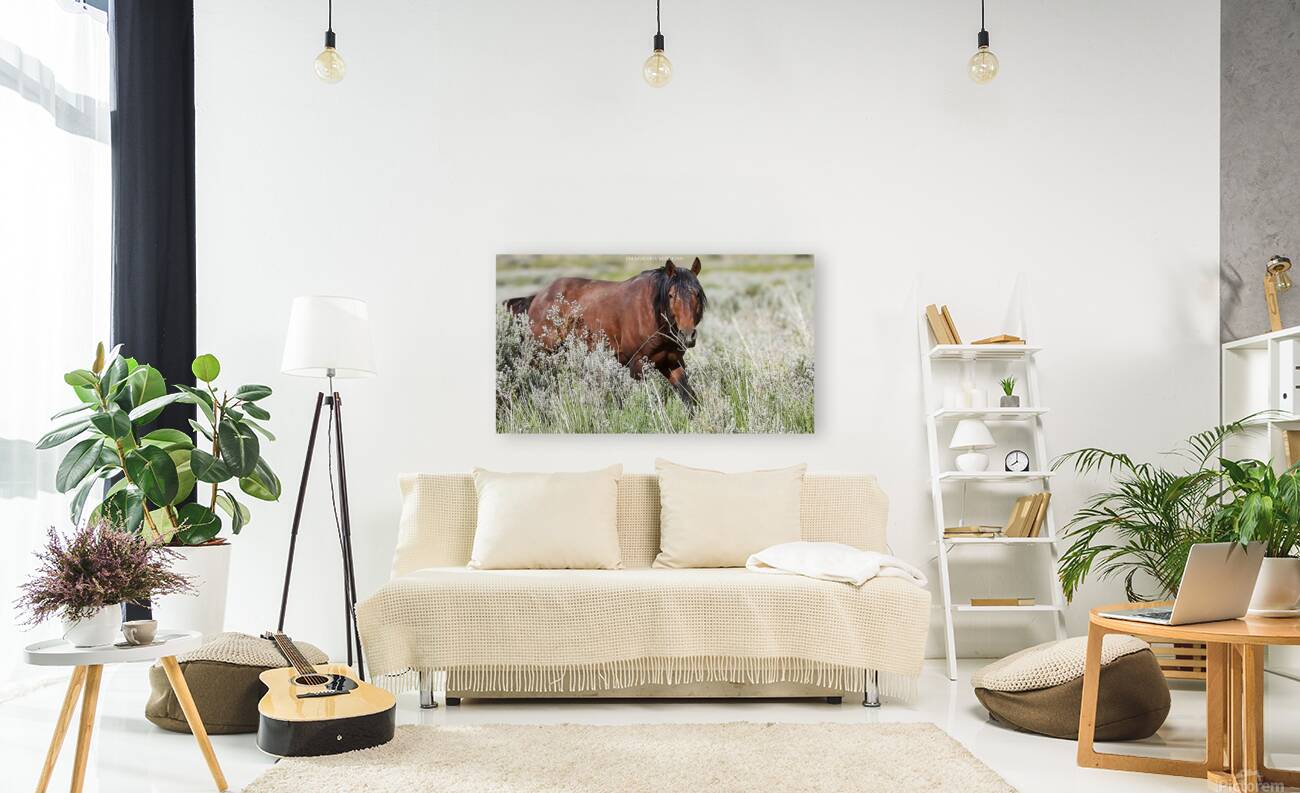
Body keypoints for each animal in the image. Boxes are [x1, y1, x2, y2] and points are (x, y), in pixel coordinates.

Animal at [504, 258, 708, 405]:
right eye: (671, 295)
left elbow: (689, 398)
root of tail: (537, 296)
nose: (687, 335)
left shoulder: (672, 363)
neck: (653, 313)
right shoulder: (637, 365)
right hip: (540, 354)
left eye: (697, 294)